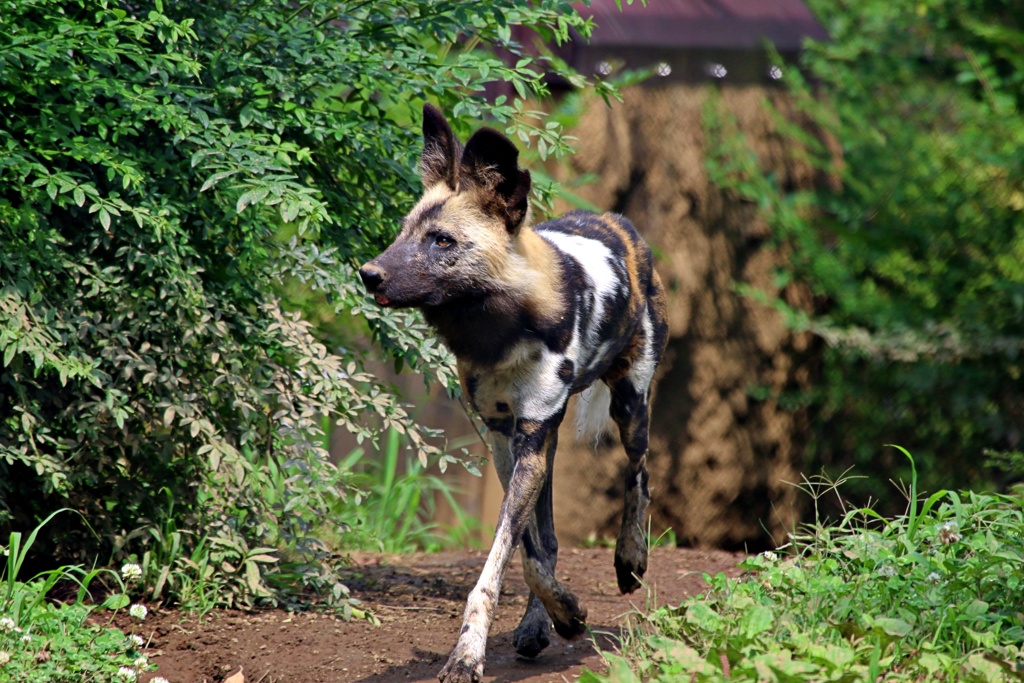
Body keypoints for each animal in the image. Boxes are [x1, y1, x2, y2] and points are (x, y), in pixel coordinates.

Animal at [362, 104, 671, 679]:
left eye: (442, 241)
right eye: (403, 233)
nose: (369, 274)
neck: (497, 330)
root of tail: (620, 222)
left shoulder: (530, 438)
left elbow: (501, 564)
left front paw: (469, 656)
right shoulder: (508, 437)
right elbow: (529, 554)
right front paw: (561, 613)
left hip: (631, 405)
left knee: (640, 474)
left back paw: (630, 561)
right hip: (551, 439)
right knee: (547, 537)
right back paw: (537, 624)